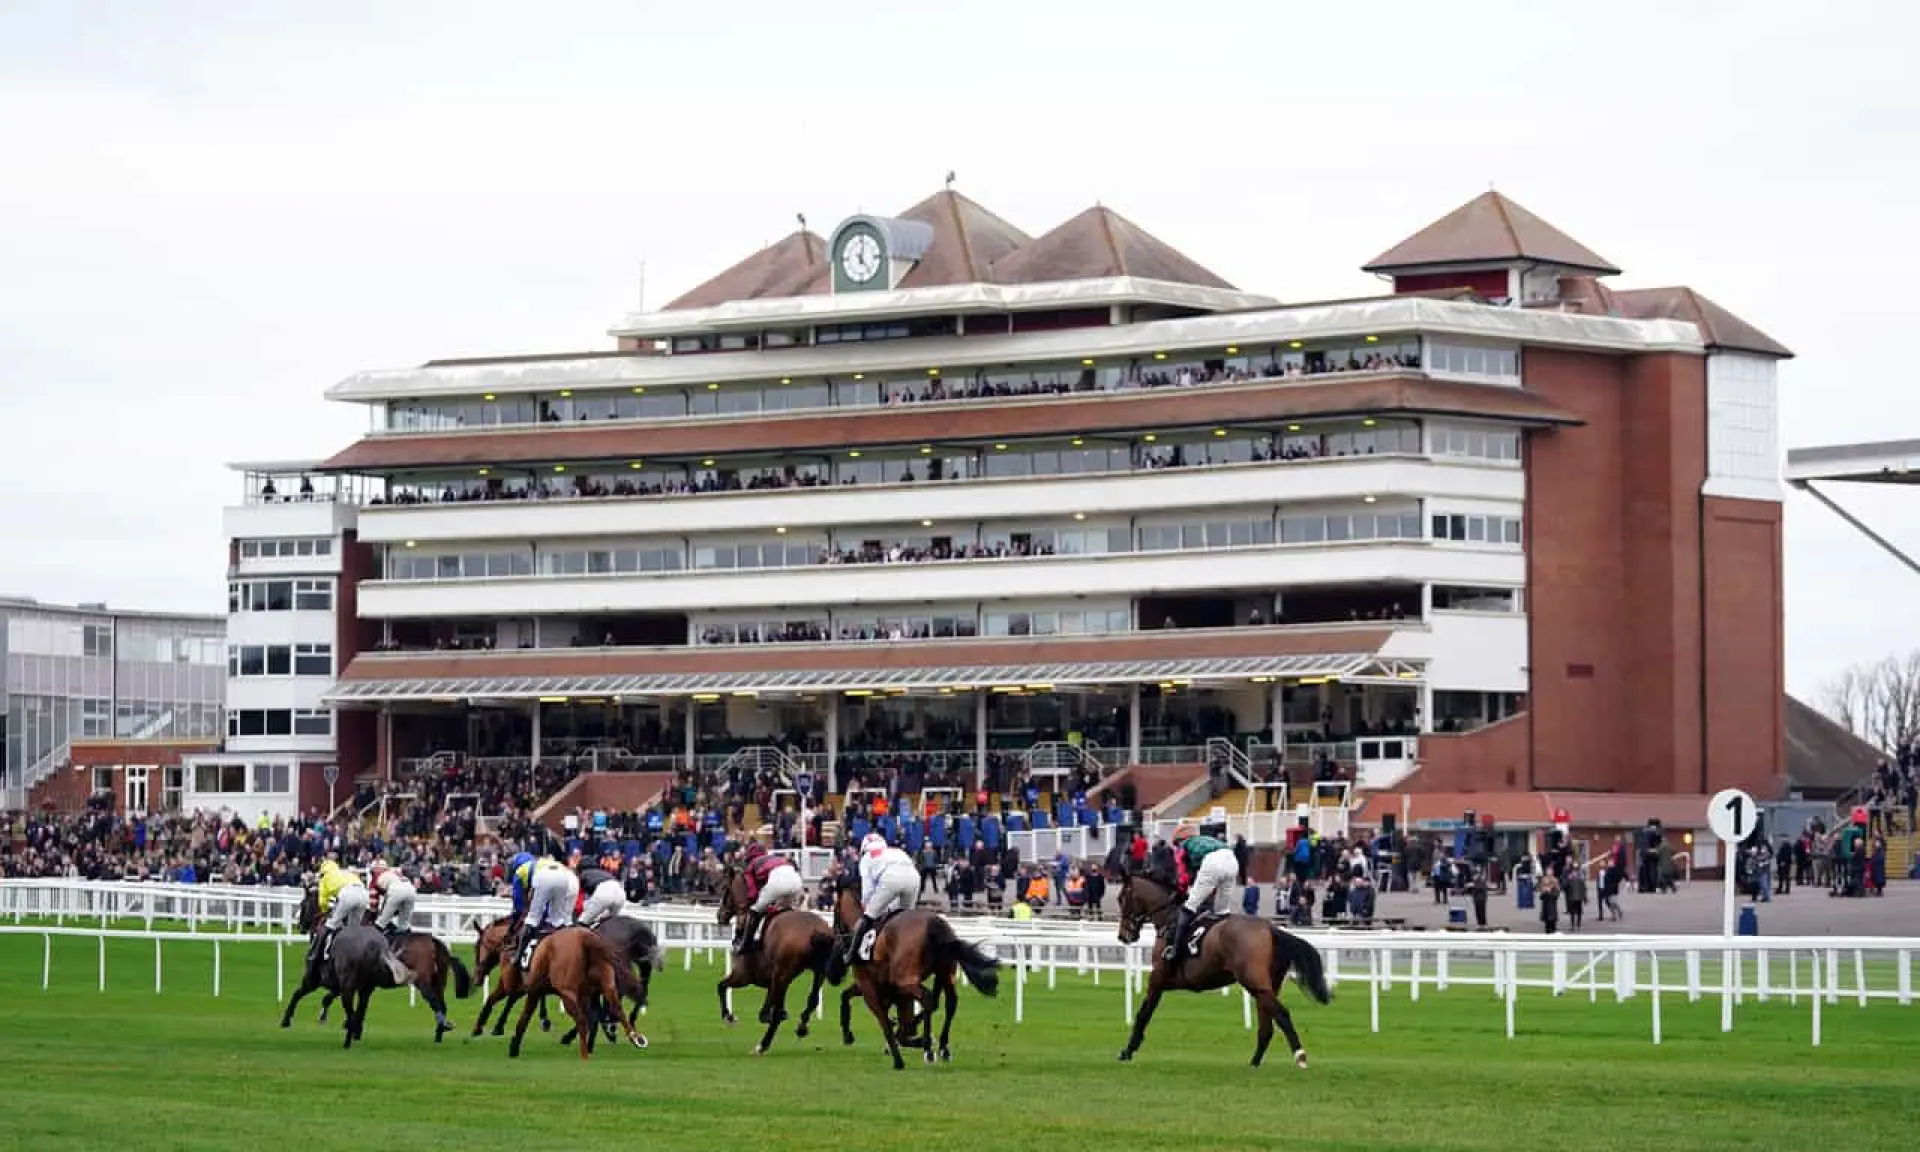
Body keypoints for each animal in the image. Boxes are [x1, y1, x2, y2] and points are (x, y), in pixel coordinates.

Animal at [280, 887, 418, 1052]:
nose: (300, 926)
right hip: (364, 986)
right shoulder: (341, 985)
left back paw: (348, 1040)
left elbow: (298, 994)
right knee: (359, 1008)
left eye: (302, 904)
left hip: (345, 986)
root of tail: (373, 945)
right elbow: (329, 999)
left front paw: (286, 1020)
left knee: (351, 1010)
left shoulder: (313, 981)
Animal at [506, 925, 648, 1059]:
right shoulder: (588, 994)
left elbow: (525, 1015)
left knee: (582, 1019)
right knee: (616, 1010)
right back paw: (636, 1039)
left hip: (567, 993)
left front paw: (514, 1046)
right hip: (607, 987)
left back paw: (583, 1054)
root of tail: (586, 937)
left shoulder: (535, 988)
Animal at [718, 864, 837, 1052]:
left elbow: (721, 986)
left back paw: (762, 1045)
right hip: (818, 972)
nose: (720, 915)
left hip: (782, 972)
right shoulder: (774, 980)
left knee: (775, 1013)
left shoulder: (744, 976)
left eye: (724, 888)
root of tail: (816, 931)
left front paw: (729, 1017)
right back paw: (800, 1027)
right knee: (812, 999)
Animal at [829, 871, 1006, 1067]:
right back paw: (942, 1046)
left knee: (928, 999)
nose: (837, 933)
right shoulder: (891, 991)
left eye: (835, 912)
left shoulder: (869, 986)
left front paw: (897, 1054)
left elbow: (881, 1018)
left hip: (907, 980)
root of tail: (936, 925)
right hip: (945, 973)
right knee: (949, 1002)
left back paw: (928, 1047)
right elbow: (848, 996)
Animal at [1121, 867, 1328, 1067]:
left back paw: (1300, 1056)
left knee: (1282, 1014)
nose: (1123, 935)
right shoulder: (1167, 982)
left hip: (1254, 983)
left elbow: (1143, 1014)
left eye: (1121, 898)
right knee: (1267, 1026)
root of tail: (1272, 929)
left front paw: (1127, 1051)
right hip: (1266, 987)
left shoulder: (1157, 978)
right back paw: (1254, 1062)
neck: (1168, 919)